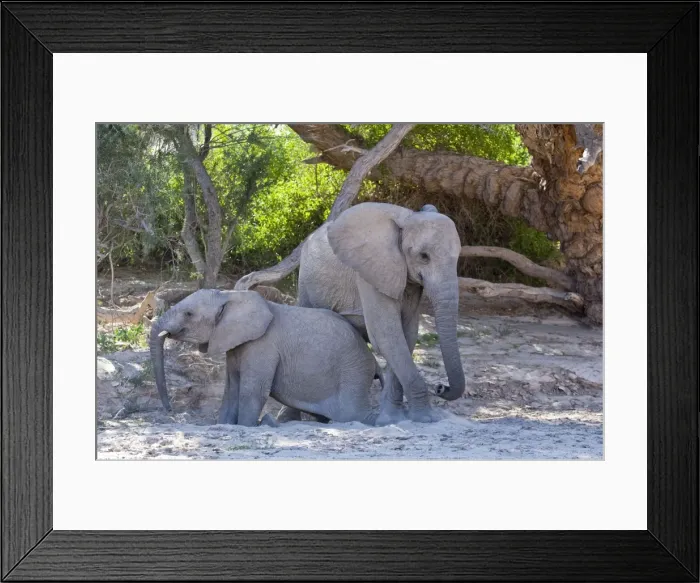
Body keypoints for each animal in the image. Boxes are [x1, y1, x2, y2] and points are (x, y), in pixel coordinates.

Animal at [149, 289, 379, 427]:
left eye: (188, 314)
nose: (170, 410)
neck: (228, 295)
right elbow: (231, 390)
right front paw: (225, 425)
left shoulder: (263, 346)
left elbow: (252, 391)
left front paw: (245, 426)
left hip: (352, 370)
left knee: (352, 415)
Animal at [277, 202, 465, 425]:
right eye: (424, 256)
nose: (440, 387)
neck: (407, 219)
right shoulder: (369, 276)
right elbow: (387, 336)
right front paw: (424, 418)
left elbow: (406, 335)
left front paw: (391, 418)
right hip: (305, 283)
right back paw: (289, 420)